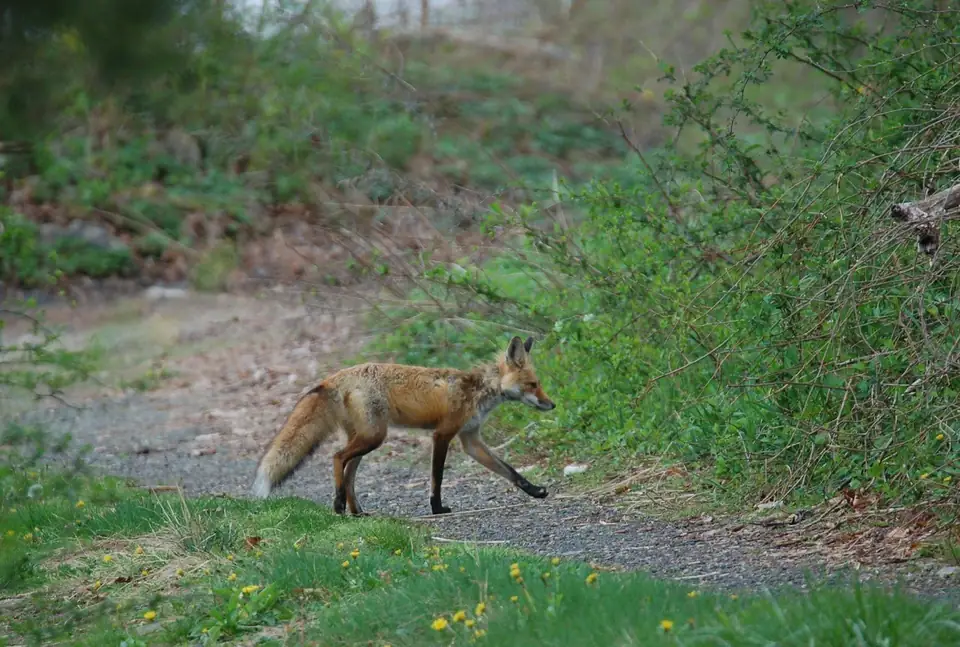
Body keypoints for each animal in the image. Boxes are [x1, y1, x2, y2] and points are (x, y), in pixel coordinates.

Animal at [251, 335, 556, 516]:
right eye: (533, 385)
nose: (552, 404)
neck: (477, 390)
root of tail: (336, 376)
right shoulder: (443, 434)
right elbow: (437, 477)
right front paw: (437, 507)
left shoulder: (471, 440)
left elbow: (509, 471)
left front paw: (535, 491)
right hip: (374, 436)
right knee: (337, 458)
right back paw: (338, 505)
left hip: (366, 438)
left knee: (349, 472)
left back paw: (356, 511)